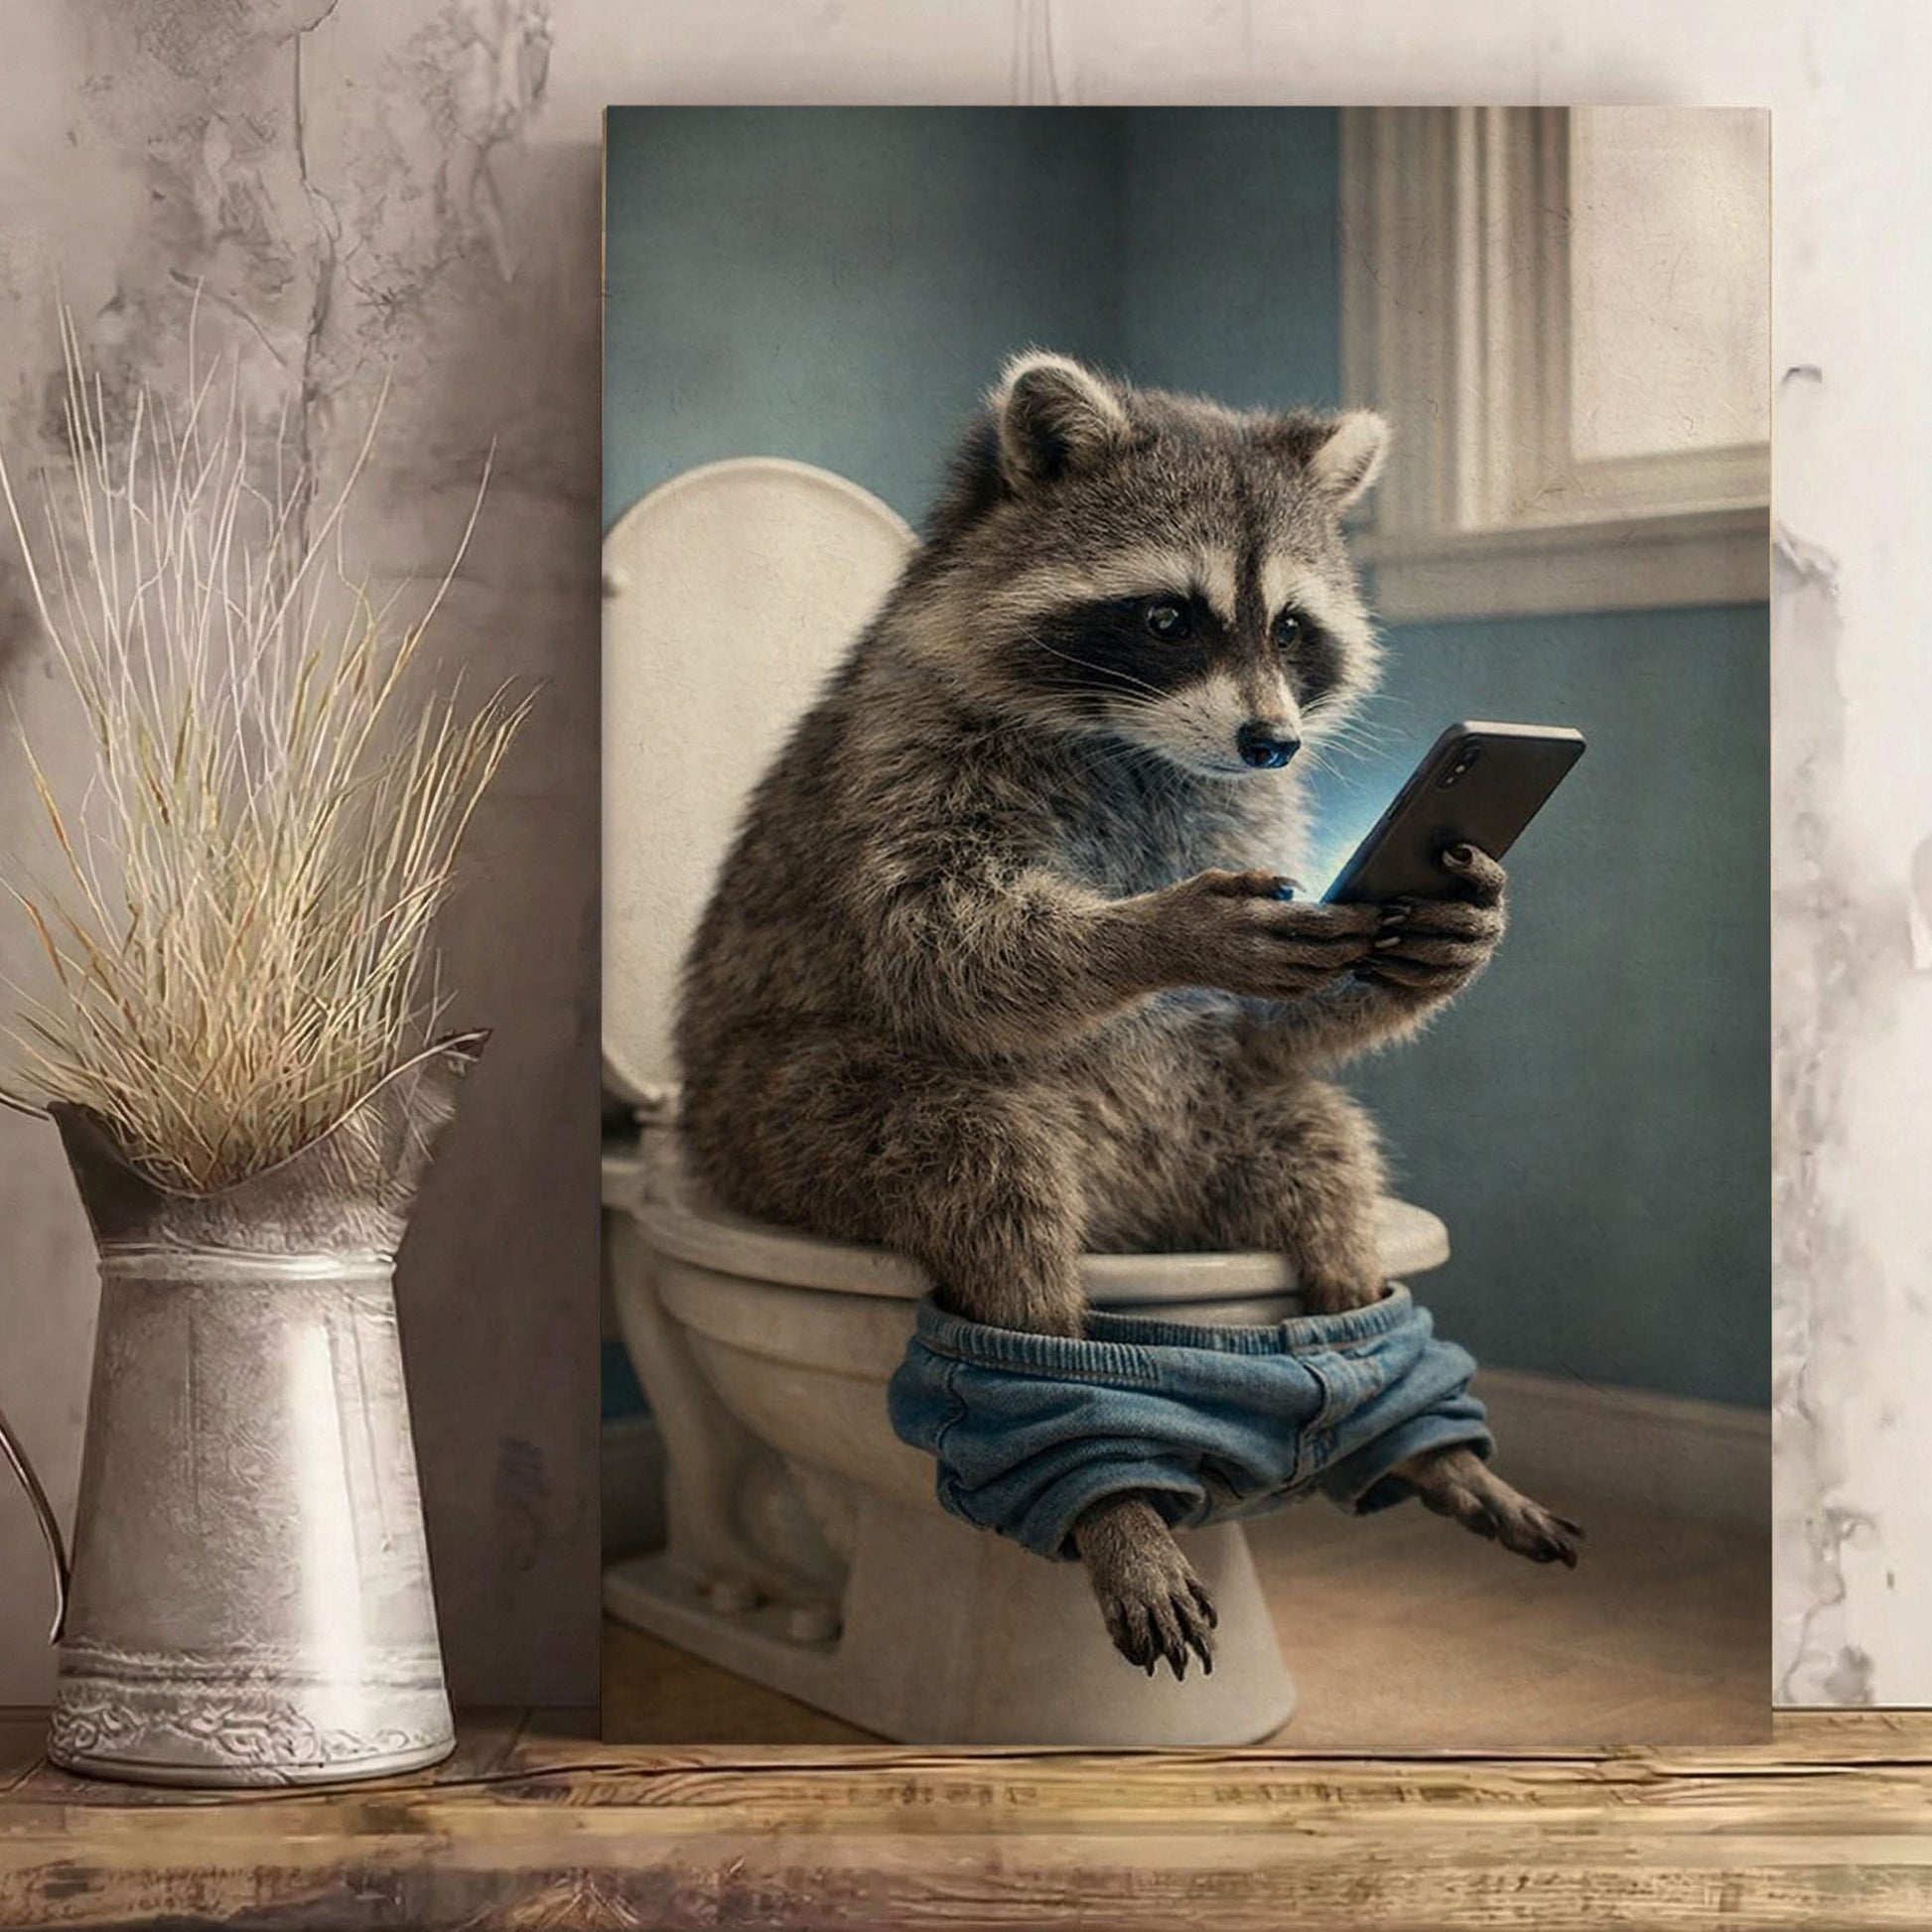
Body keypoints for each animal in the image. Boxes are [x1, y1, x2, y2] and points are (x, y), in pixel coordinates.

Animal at [677, 352, 1580, 1680]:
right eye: (1168, 619)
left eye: (1290, 629)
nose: (1272, 740)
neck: (1133, 741)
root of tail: (1129, 1209)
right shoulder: (905, 754)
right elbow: (934, 945)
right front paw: (1154, 931)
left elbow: (1265, 1028)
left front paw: (1443, 937)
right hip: (776, 1122)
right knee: (978, 1159)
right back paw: (1110, 1498)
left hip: (1208, 1131)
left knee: (1316, 1141)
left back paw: (1416, 1424)